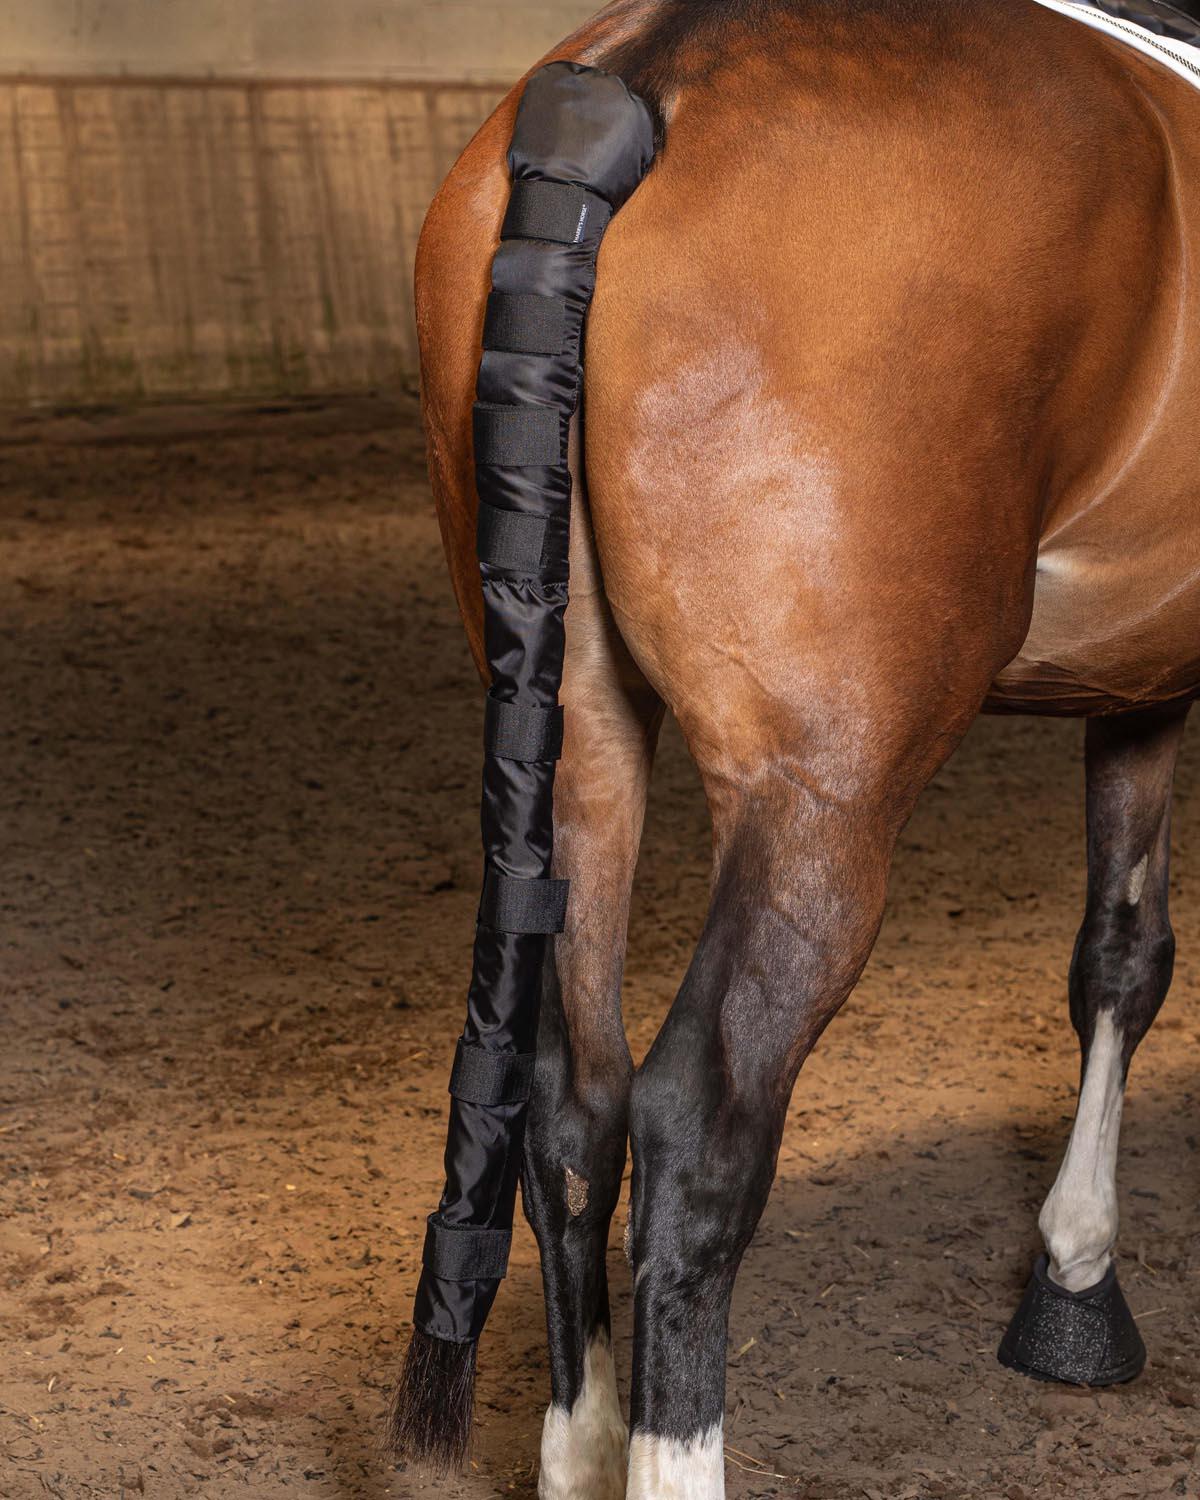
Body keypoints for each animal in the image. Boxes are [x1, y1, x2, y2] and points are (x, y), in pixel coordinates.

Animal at [405, 0, 1200, 1493]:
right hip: (821, 799)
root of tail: (646, 72)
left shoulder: (1141, 674)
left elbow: (1121, 957)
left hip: (584, 753)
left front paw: (1075, 1293)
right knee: (696, 1133)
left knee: (571, 1099)